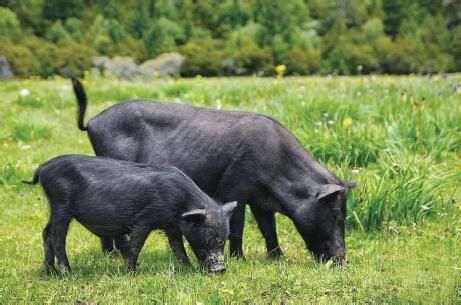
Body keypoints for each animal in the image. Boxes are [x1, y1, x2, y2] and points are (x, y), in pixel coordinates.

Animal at [22, 153, 235, 272]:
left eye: (224, 238)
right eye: (208, 235)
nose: (221, 269)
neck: (180, 204)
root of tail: (43, 168)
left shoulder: (171, 226)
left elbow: (178, 247)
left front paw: (188, 269)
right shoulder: (144, 220)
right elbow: (136, 245)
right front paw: (130, 271)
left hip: (54, 207)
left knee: (45, 233)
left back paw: (49, 272)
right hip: (61, 206)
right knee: (57, 237)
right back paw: (68, 273)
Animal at [72, 78, 354, 262]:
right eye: (335, 214)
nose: (342, 259)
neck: (277, 170)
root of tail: (92, 121)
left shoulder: (260, 200)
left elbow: (268, 228)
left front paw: (277, 259)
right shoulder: (235, 186)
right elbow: (238, 224)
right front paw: (239, 259)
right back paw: (113, 255)